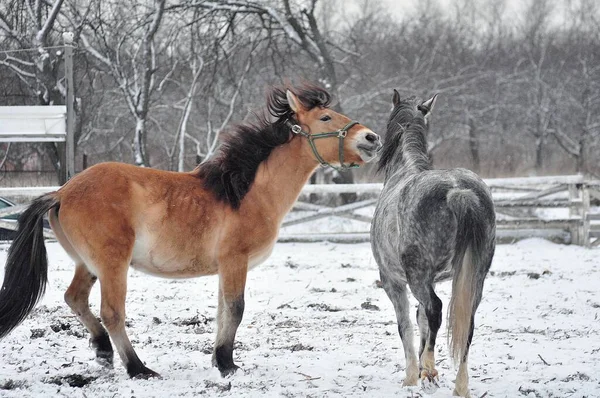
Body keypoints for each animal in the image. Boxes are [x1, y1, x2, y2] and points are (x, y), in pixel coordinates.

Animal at [0, 83, 382, 376]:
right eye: (326, 117)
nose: (371, 137)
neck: (244, 193)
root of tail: (62, 192)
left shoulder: (227, 267)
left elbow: (222, 311)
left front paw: (220, 359)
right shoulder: (235, 261)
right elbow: (236, 309)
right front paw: (227, 364)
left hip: (87, 264)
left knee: (75, 298)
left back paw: (103, 351)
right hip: (112, 264)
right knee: (111, 313)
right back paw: (138, 368)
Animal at [372, 91, 494, 396]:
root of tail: (458, 190)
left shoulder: (393, 281)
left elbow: (406, 325)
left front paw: (412, 376)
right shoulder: (436, 279)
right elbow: (422, 321)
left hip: (417, 276)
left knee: (436, 309)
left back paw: (428, 366)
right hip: (475, 277)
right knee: (465, 323)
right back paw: (460, 385)